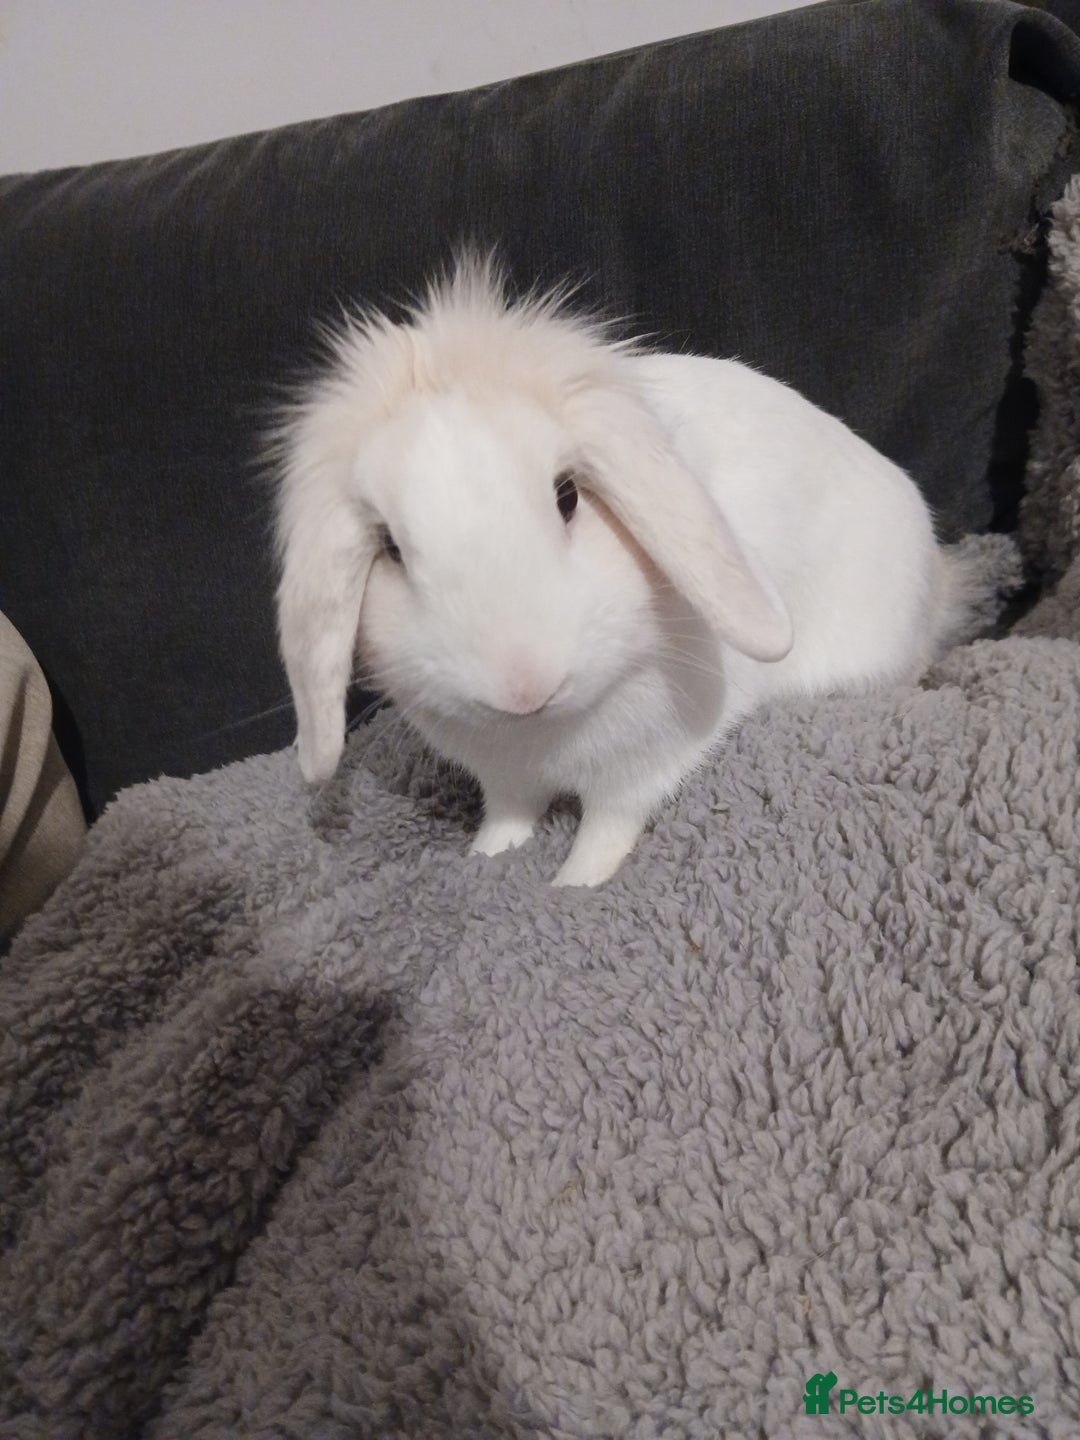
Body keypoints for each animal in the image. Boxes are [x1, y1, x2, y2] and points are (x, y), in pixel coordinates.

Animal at [274, 255, 967, 887]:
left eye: (568, 496)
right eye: (390, 547)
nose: (524, 686)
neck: (544, 735)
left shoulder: (639, 774)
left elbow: (606, 832)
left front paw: (573, 885)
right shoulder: (506, 779)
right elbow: (507, 819)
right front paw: (487, 858)